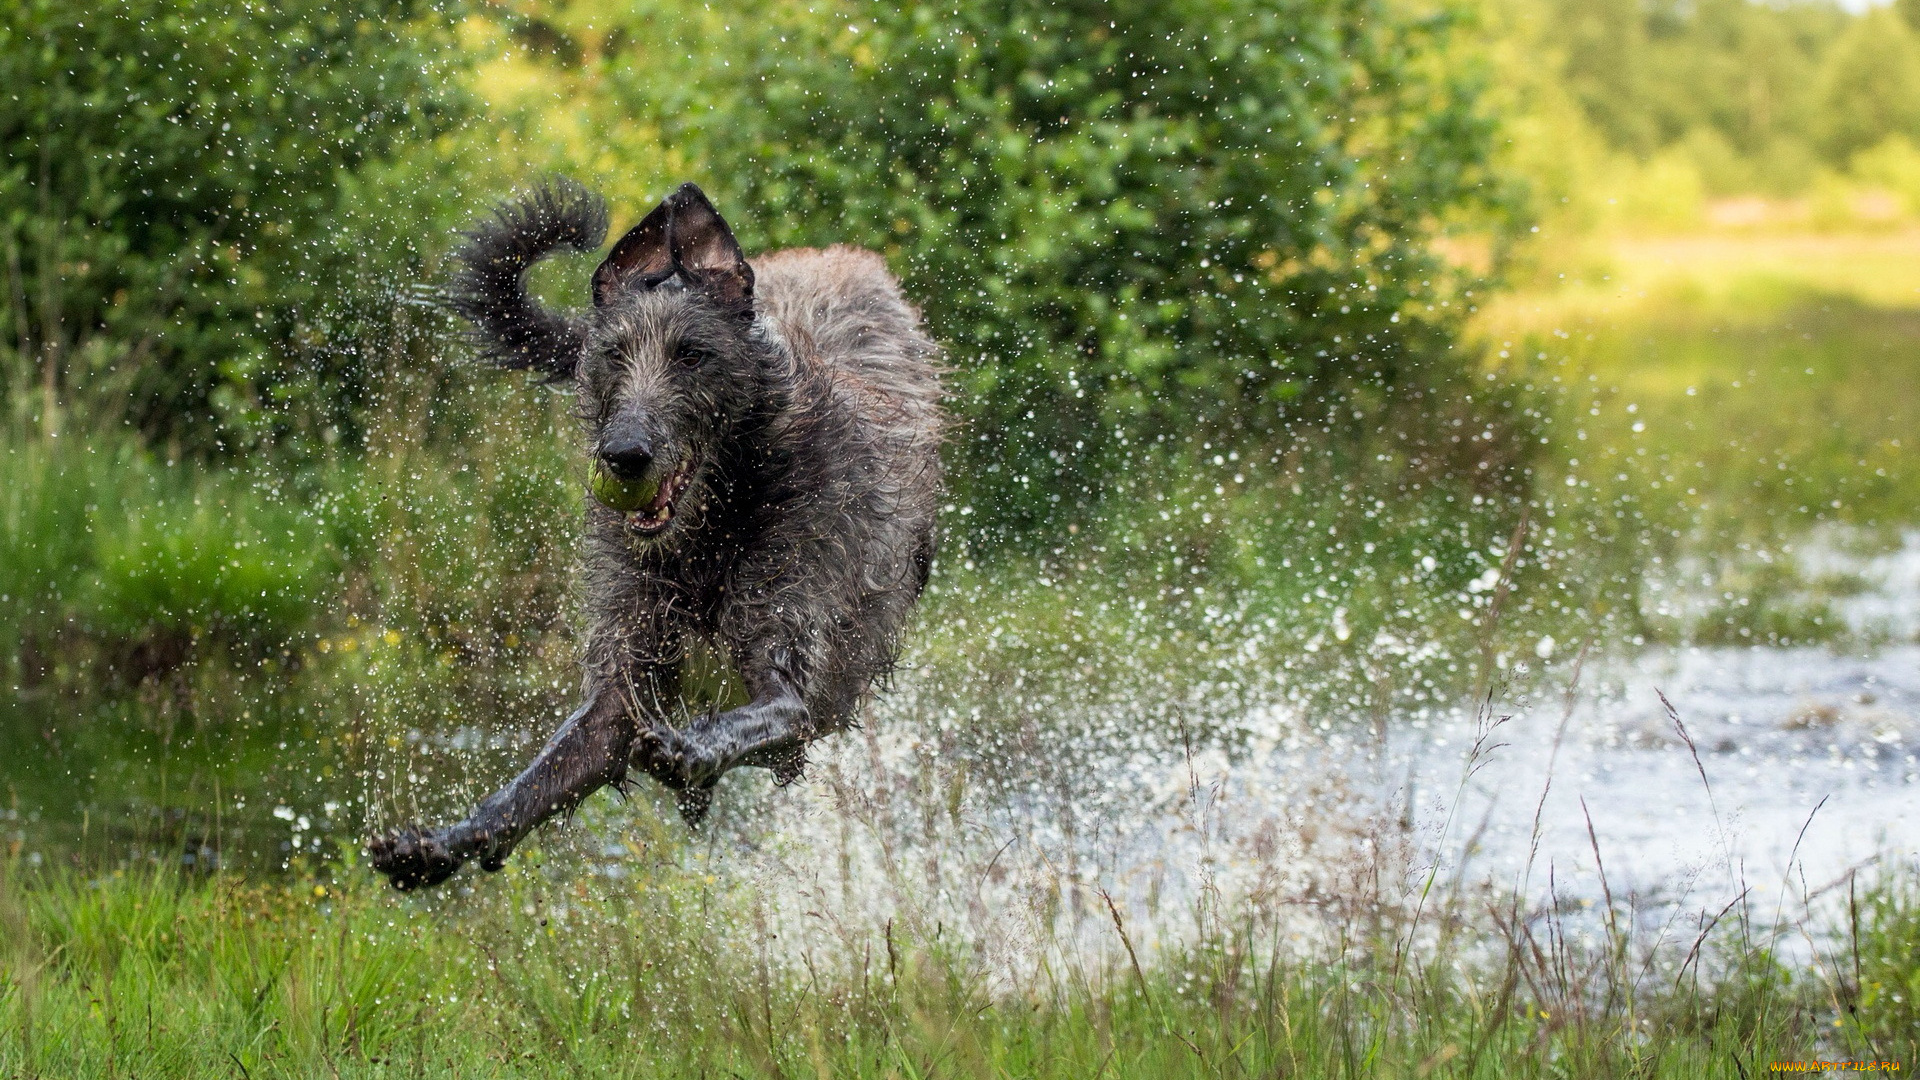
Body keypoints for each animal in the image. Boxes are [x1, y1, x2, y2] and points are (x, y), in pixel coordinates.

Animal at [364, 180, 944, 887]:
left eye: (692, 355)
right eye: (615, 354)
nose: (623, 456)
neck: (713, 527)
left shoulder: (794, 658)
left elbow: (765, 711)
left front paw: (688, 746)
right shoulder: (627, 666)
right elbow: (539, 776)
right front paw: (443, 843)